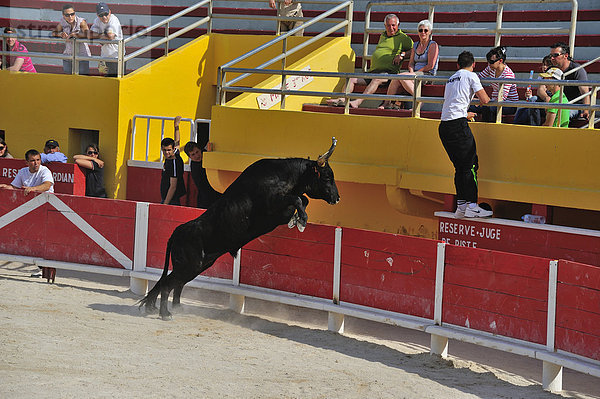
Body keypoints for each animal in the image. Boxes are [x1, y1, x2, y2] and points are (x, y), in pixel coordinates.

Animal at [138, 138, 340, 318]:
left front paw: (297, 220)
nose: (337, 198)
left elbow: (302, 199)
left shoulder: (280, 212)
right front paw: (302, 220)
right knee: (168, 284)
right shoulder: (273, 206)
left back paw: (176, 308)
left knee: (176, 284)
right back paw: (166, 314)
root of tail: (178, 231)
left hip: (199, 265)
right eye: (327, 176)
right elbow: (298, 199)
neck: (282, 176)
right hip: (189, 264)